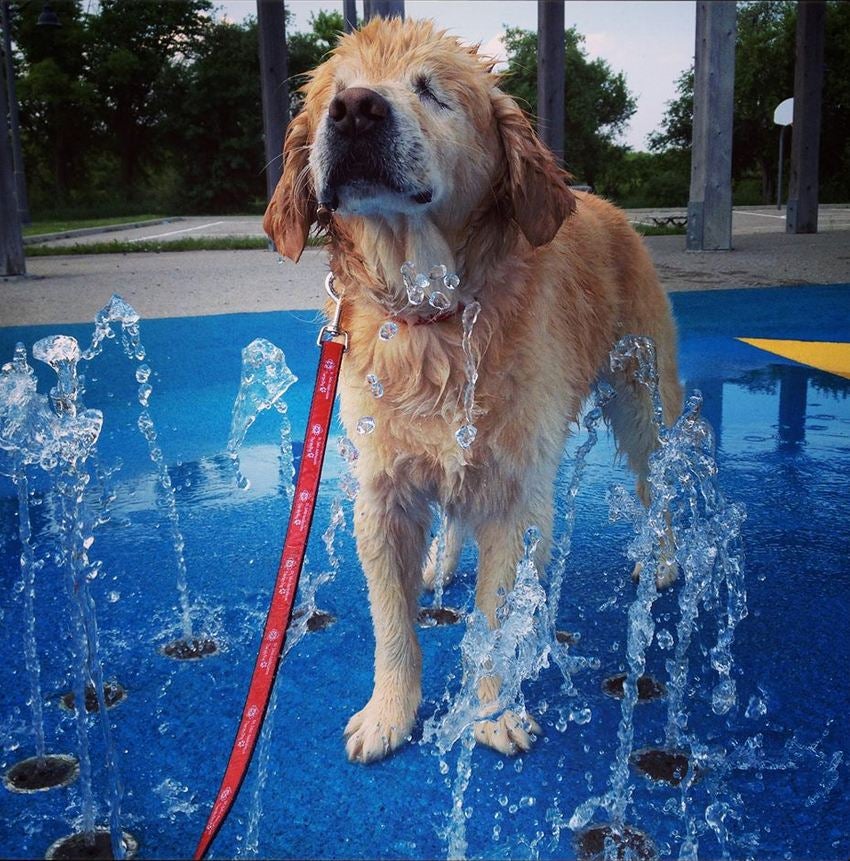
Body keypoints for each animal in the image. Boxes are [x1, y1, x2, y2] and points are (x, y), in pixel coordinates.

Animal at [262, 16, 680, 764]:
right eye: (336, 91)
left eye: (432, 90)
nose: (356, 110)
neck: (432, 312)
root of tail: (604, 205)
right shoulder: (383, 493)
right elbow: (393, 625)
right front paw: (389, 713)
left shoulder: (517, 492)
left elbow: (495, 623)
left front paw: (492, 710)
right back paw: (441, 560)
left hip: (642, 400)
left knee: (654, 484)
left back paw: (661, 562)